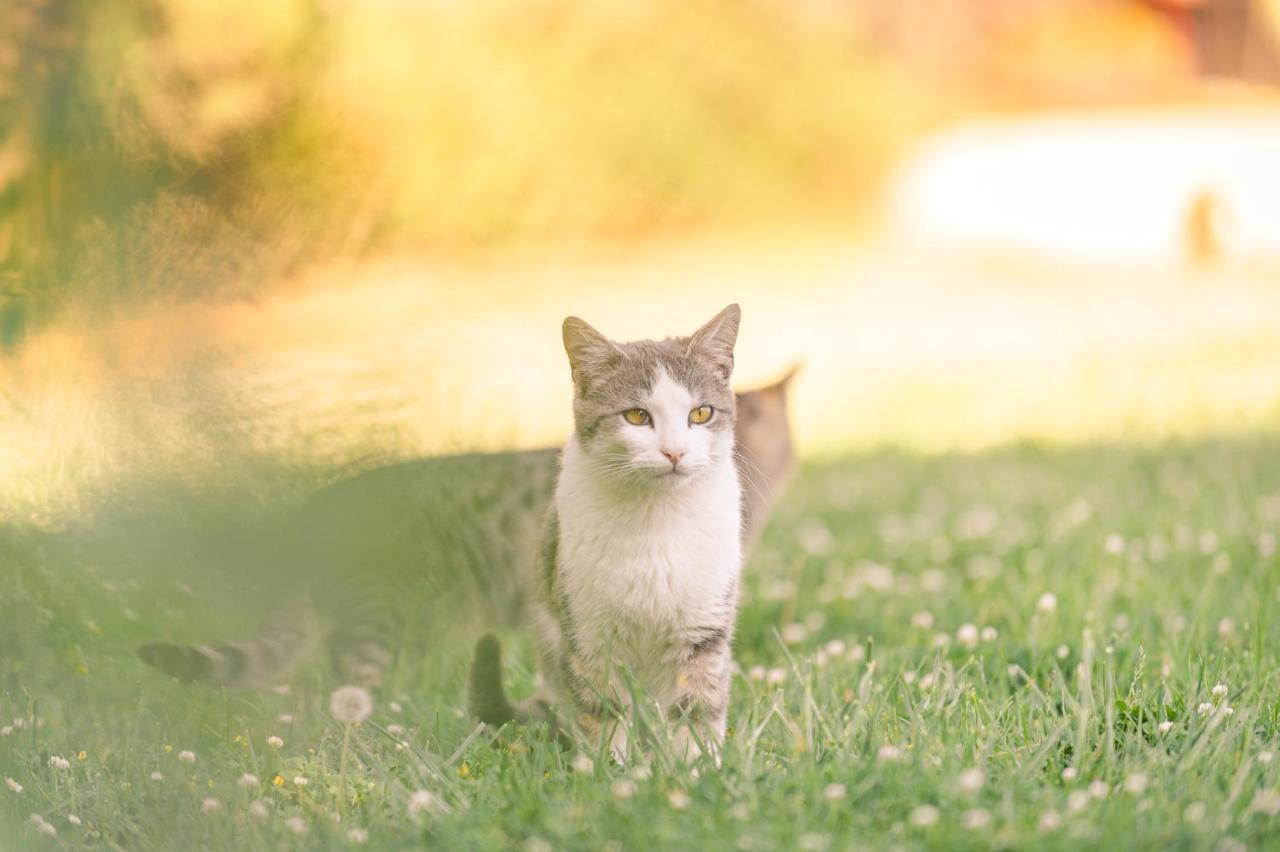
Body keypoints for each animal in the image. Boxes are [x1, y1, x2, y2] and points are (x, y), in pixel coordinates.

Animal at [473, 303, 747, 757]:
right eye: (636, 415)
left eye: (701, 413)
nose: (675, 452)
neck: (657, 518)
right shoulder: (588, 631)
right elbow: (602, 708)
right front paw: (610, 766)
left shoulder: (703, 626)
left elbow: (697, 705)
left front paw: (696, 766)